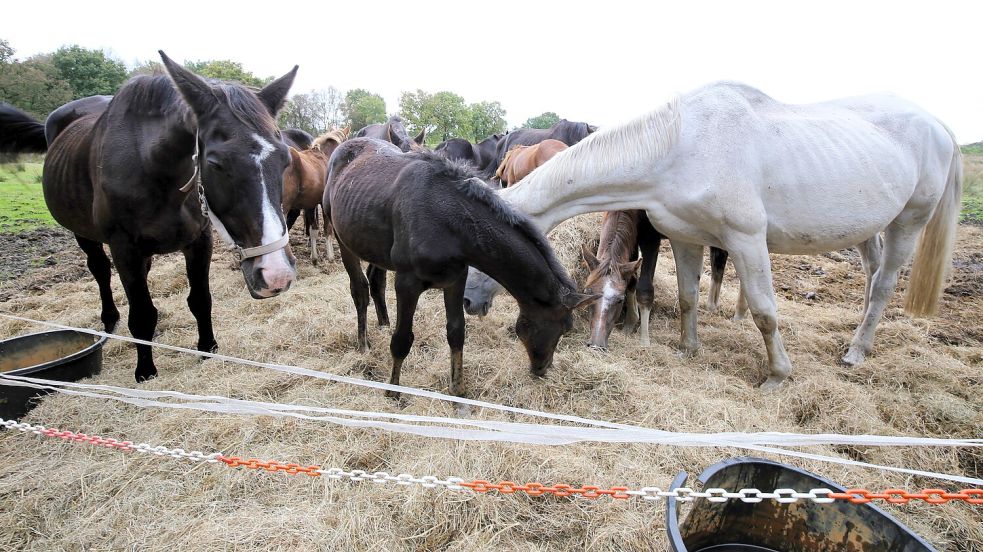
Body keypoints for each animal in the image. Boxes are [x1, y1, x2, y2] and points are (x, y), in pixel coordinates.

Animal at [0, 51, 300, 380]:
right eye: (215, 163)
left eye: (285, 159)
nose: (276, 274)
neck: (155, 168)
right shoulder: (124, 246)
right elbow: (142, 313)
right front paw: (145, 370)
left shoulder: (199, 240)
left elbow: (200, 300)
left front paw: (207, 349)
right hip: (84, 233)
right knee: (101, 271)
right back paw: (110, 320)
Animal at [280, 126, 350, 264]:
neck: (324, 156)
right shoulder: (323, 204)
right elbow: (327, 229)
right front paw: (330, 257)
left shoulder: (310, 204)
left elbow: (314, 229)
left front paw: (314, 257)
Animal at [324, 137, 600, 396]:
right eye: (562, 327)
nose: (542, 368)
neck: (448, 221)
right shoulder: (407, 283)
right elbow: (402, 339)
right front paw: (393, 392)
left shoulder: (456, 279)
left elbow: (456, 332)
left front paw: (458, 389)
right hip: (342, 239)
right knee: (360, 289)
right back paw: (364, 344)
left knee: (376, 280)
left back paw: (383, 323)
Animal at [466, 83, 964, 392]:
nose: (469, 302)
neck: (680, 147)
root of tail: (939, 125)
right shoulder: (684, 237)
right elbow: (688, 297)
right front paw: (688, 350)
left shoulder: (747, 240)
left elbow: (765, 313)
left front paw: (777, 377)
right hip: (867, 228)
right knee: (871, 272)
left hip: (908, 222)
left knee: (884, 285)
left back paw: (857, 352)